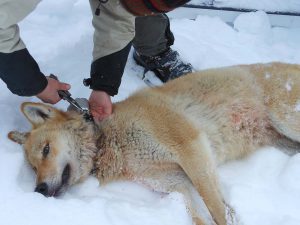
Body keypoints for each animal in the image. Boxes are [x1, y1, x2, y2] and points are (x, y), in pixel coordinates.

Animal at [7, 62, 300, 225]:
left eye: (46, 150)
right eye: (33, 168)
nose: (39, 190)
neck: (108, 141)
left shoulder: (192, 150)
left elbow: (217, 210)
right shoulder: (175, 183)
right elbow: (199, 213)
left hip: (287, 120)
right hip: (282, 140)